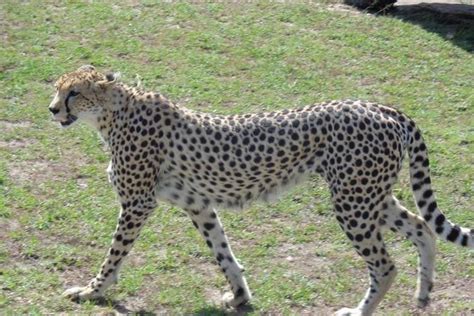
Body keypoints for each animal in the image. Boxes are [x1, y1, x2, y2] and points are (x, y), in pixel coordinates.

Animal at [49, 65, 474, 314]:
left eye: (74, 93)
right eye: (57, 88)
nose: (53, 109)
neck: (114, 114)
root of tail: (382, 108)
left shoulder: (138, 204)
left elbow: (113, 255)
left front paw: (91, 291)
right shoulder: (198, 205)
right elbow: (223, 252)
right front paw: (239, 296)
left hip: (353, 203)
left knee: (385, 264)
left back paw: (360, 311)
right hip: (369, 197)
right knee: (422, 226)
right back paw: (423, 293)